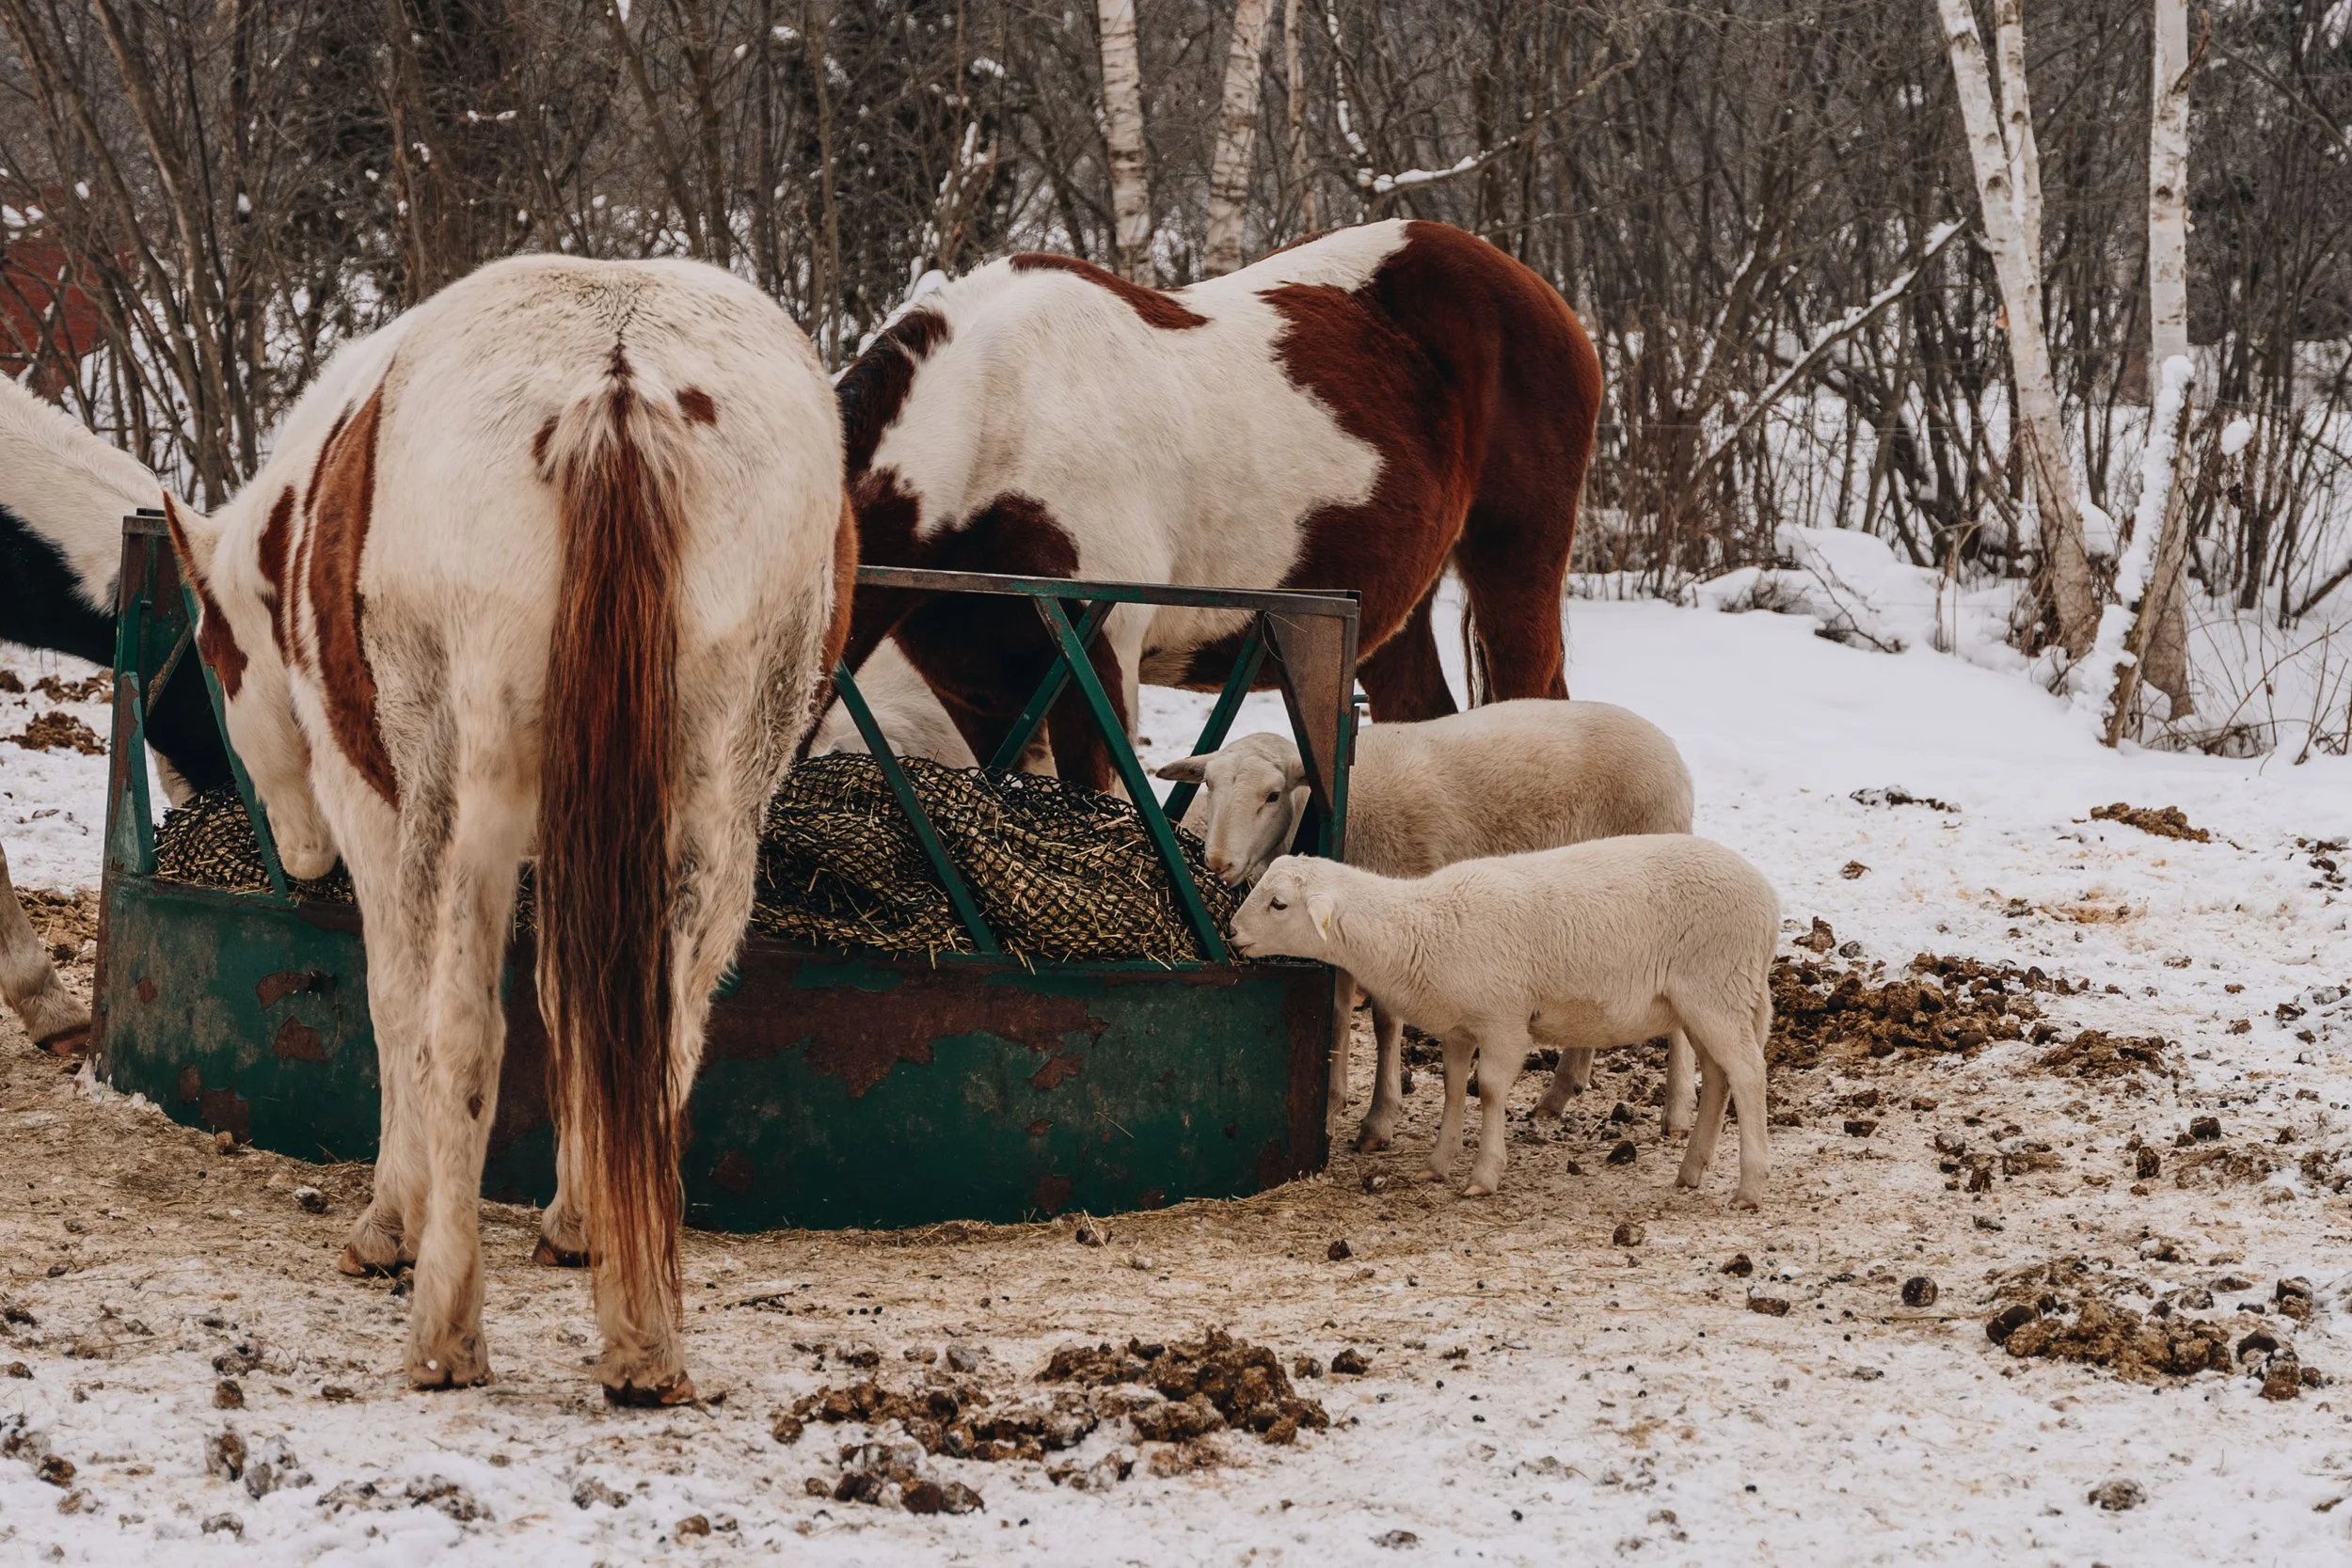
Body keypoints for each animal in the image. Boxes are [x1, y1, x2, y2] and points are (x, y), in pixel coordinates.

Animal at [165, 255, 849, 1404]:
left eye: (217, 656)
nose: (297, 851)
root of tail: (618, 383)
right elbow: (580, 1004)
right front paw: (580, 1219)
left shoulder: (374, 808)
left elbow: (397, 1010)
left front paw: (389, 1219)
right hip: (710, 803)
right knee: (660, 1022)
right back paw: (642, 1333)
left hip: (460, 794)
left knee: (457, 1029)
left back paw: (445, 1328)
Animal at [834, 218, 1603, 789]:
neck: (996, 420)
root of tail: (1538, 290)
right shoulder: (978, 696)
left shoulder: (1096, 669)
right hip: (1395, 608)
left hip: (1516, 569)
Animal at [1157, 699, 1696, 1149]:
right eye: (1208, 787)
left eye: (1271, 795)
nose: (1217, 863)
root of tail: (1669, 749)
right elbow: (1336, 1011)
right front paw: (1330, 1105)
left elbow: (1384, 1018)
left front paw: (1378, 1121)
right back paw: (1557, 1095)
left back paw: (1675, 1115)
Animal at [1228, 837, 1777, 1205]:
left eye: (1279, 903)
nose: (1232, 934)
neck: (1422, 926)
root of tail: (1768, 899)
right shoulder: (1456, 1027)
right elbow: (1453, 1088)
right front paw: (1437, 1165)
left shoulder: (1504, 1021)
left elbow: (1490, 1089)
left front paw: (1483, 1175)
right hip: (1704, 1001)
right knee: (1720, 1078)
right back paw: (1691, 1170)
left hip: (1717, 987)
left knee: (1749, 1075)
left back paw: (1749, 1187)